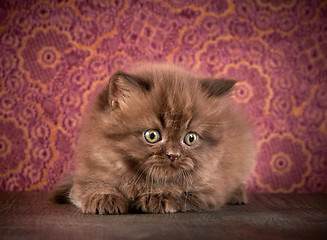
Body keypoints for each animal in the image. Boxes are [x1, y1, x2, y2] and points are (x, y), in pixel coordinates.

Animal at [50, 63, 256, 214]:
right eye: (152, 135)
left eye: (190, 138)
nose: (173, 155)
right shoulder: (87, 174)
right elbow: (91, 186)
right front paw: (104, 198)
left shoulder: (211, 188)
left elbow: (183, 192)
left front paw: (158, 196)